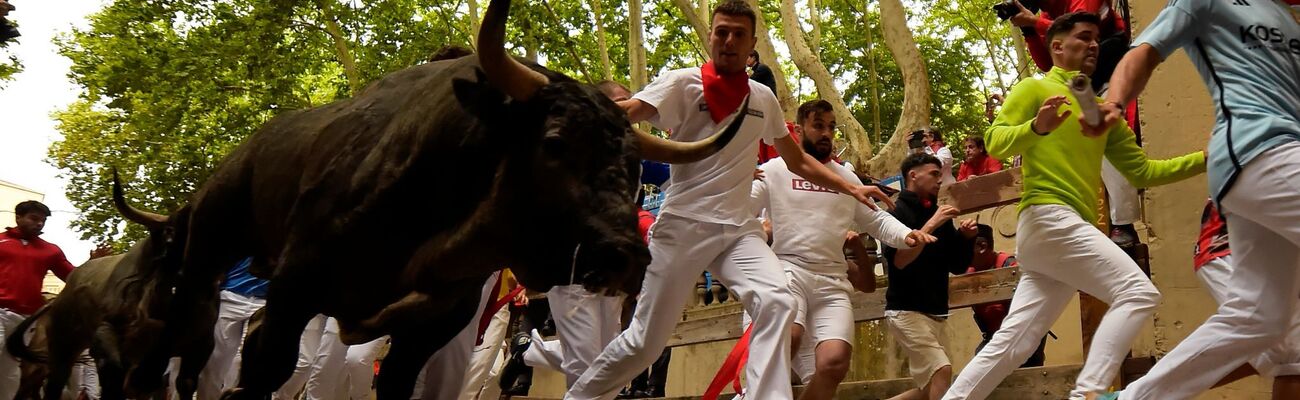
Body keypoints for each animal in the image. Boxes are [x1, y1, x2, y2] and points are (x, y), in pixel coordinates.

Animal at [126, 0, 748, 397]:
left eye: (631, 167)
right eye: (554, 142)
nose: (627, 256)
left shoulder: (436, 320)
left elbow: (399, 383)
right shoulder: (296, 286)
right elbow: (267, 367)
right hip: (209, 247)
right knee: (188, 342)